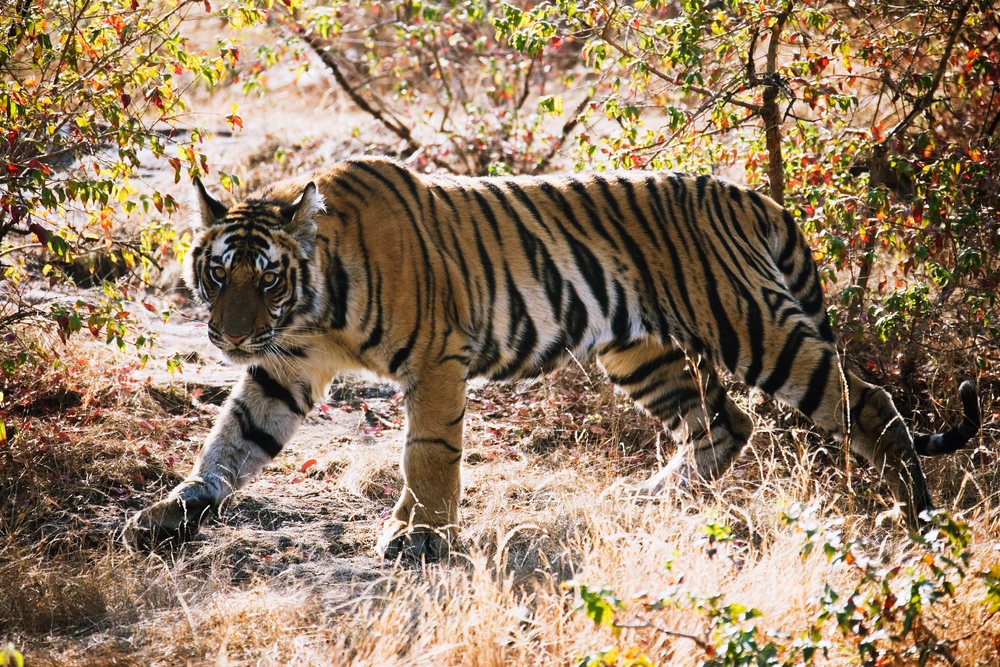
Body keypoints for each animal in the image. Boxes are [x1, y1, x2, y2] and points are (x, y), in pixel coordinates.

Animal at [124, 156, 980, 559]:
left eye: (267, 276)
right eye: (218, 271)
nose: (230, 336)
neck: (309, 306)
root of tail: (752, 195)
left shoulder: (436, 360)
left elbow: (427, 453)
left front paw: (419, 537)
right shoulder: (285, 368)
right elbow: (231, 442)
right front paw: (168, 512)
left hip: (758, 327)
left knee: (872, 405)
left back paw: (920, 518)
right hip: (639, 352)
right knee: (723, 422)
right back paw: (654, 498)